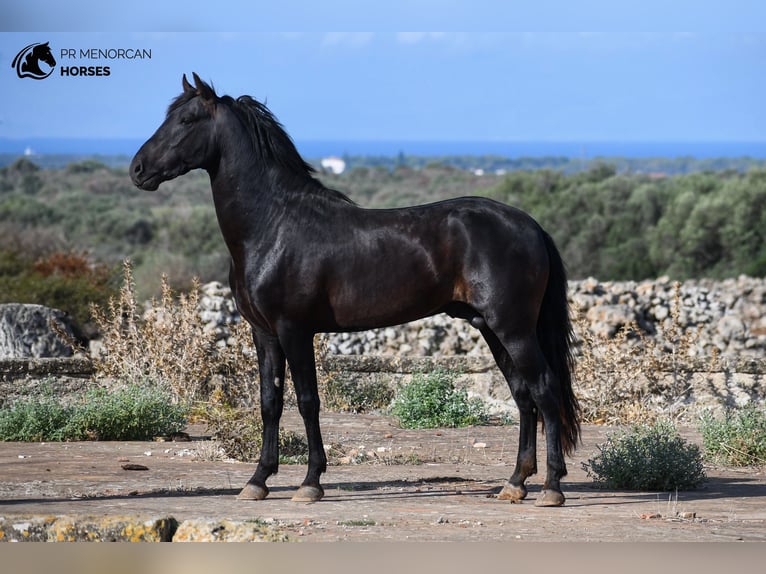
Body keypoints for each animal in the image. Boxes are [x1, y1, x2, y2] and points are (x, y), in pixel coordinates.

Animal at [130, 73, 584, 508]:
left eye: (186, 120)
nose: (137, 169)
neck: (274, 225)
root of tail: (530, 226)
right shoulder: (264, 332)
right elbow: (269, 402)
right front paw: (257, 481)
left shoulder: (295, 329)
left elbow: (307, 401)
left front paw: (310, 483)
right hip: (491, 328)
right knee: (524, 396)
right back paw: (515, 484)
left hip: (513, 328)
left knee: (544, 390)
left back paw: (551, 488)